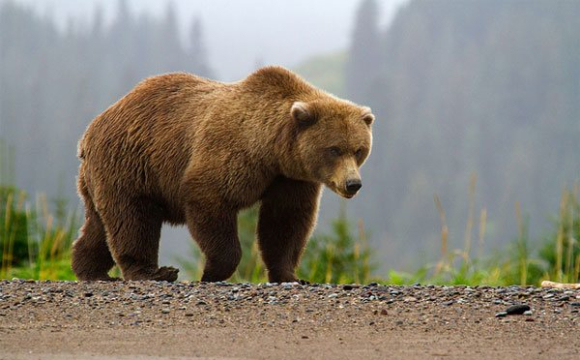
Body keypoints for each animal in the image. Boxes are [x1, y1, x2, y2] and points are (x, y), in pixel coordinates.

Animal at [72, 66, 374, 282]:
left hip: (103, 176)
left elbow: (285, 222)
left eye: (359, 149)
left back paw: (90, 270)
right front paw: (212, 272)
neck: (271, 150)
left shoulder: (290, 179)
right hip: (130, 164)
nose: (353, 184)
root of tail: (91, 129)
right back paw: (153, 272)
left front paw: (290, 275)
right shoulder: (230, 154)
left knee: (100, 224)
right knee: (133, 219)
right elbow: (209, 200)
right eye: (334, 149)